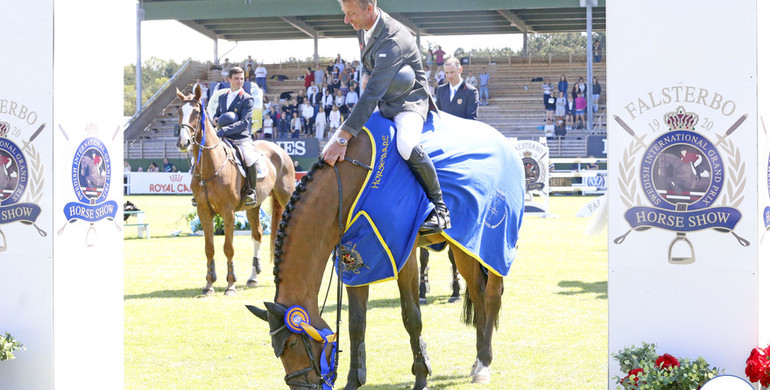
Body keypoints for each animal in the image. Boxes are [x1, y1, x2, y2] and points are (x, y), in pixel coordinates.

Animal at [176, 86, 294, 296]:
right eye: (179, 112)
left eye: (196, 112)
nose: (183, 142)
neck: (210, 165)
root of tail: (279, 149)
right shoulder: (204, 212)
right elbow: (209, 248)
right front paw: (209, 286)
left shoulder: (228, 212)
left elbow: (228, 247)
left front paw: (230, 285)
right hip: (253, 207)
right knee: (257, 235)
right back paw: (253, 278)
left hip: (286, 196)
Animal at [249, 112, 524, 386]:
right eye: (276, 350)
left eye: (293, 344)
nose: (301, 387)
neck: (349, 184)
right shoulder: (354, 259)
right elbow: (356, 322)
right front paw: (354, 381)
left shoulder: (403, 257)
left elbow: (411, 317)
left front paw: (421, 376)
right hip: (465, 247)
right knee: (477, 295)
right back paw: (478, 360)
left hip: (492, 244)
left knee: (491, 296)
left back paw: (484, 364)